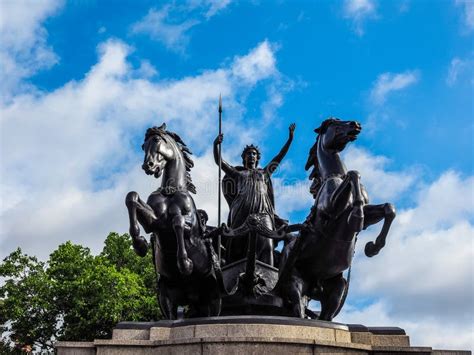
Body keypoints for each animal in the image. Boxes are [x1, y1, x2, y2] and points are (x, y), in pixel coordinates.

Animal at [126, 124, 222, 318]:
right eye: (143, 146)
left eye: (156, 140)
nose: (148, 166)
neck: (170, 190)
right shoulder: (154, 223)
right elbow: (131, 197)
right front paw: (139, 244)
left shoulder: (190, 225)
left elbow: (178, 221)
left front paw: (185, 263)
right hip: (166, 297)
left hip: (213, 298)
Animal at [278, 118, 396, 322]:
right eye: (333, 123)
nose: (356, 124)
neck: (335, 176)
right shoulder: (331, 209)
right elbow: (354, 174)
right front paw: (357, 216)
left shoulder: (368, 217)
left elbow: (388, 209)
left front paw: (373, 247)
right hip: (294, 283)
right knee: (298, 310)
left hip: (337, 288)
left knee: (325, 316)